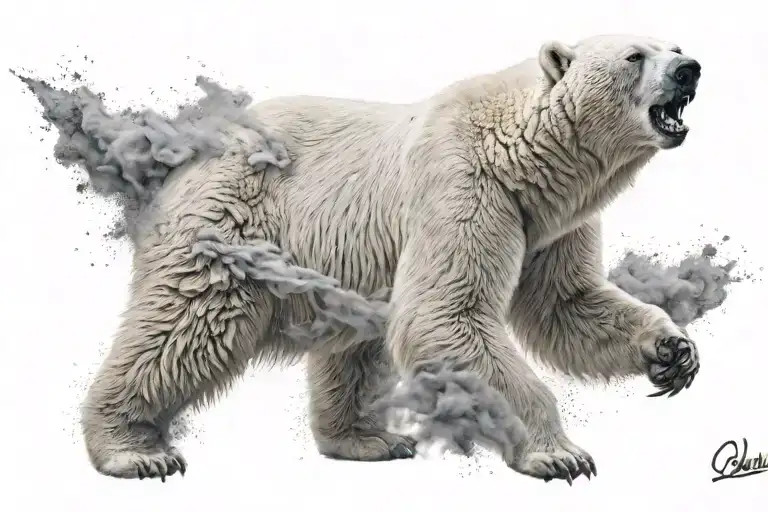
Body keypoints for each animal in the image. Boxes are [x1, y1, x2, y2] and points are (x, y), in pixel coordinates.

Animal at [79, 33, 702, 484]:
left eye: (672, 43)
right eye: (634, 55)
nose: (690, 68)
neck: (520, 155)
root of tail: (186, 148)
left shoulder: (550, 224)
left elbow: (566, 301)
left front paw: (672, 351)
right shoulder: (463, 187)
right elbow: (446, 313)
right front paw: (561, 455)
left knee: (354, 342)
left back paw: (368, 438)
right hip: (235, 221)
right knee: (188, 322)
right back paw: (135, 450)